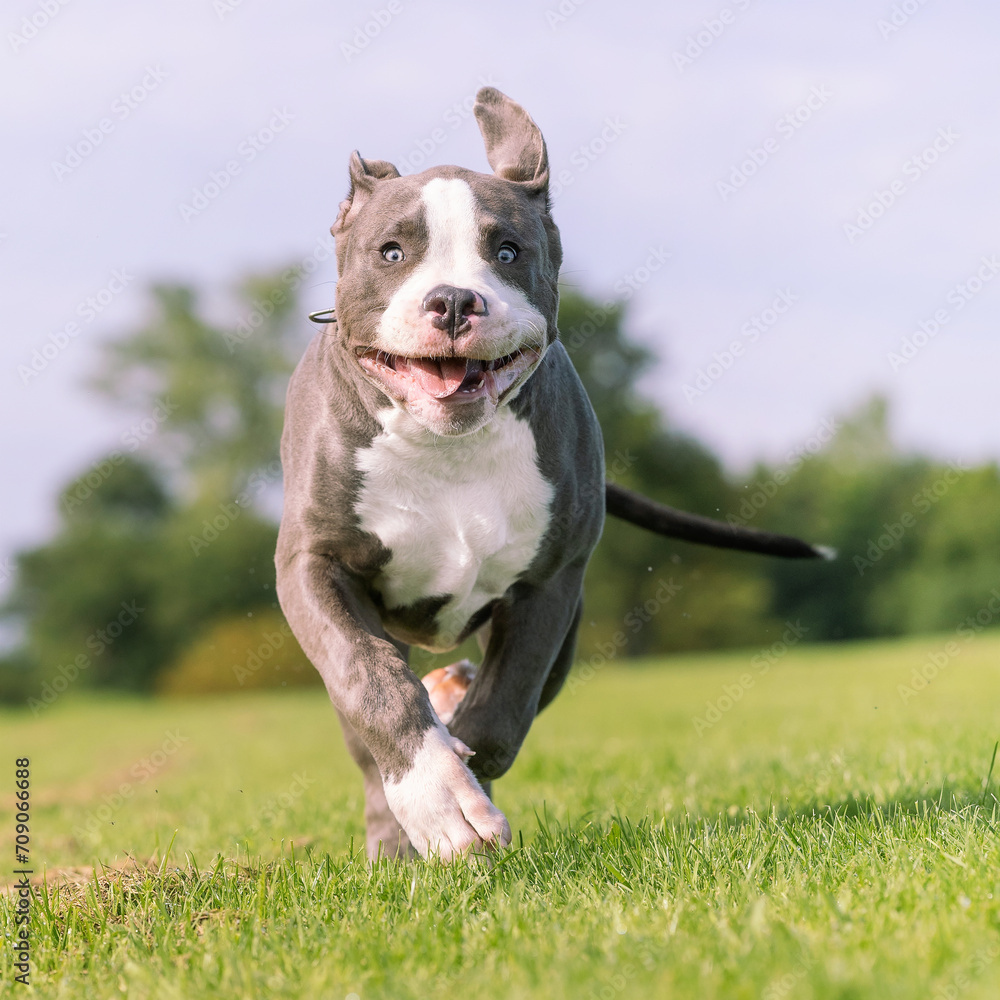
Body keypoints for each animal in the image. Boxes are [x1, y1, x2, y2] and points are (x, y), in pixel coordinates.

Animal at [276, 88, 828, 860]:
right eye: (391, 251)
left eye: (507, 251)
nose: (453, 300)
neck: (447, 449)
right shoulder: (313, 564)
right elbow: (371, 682)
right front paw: (438, 799)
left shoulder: (549, 586)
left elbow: (503, 713)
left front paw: (465, 786)